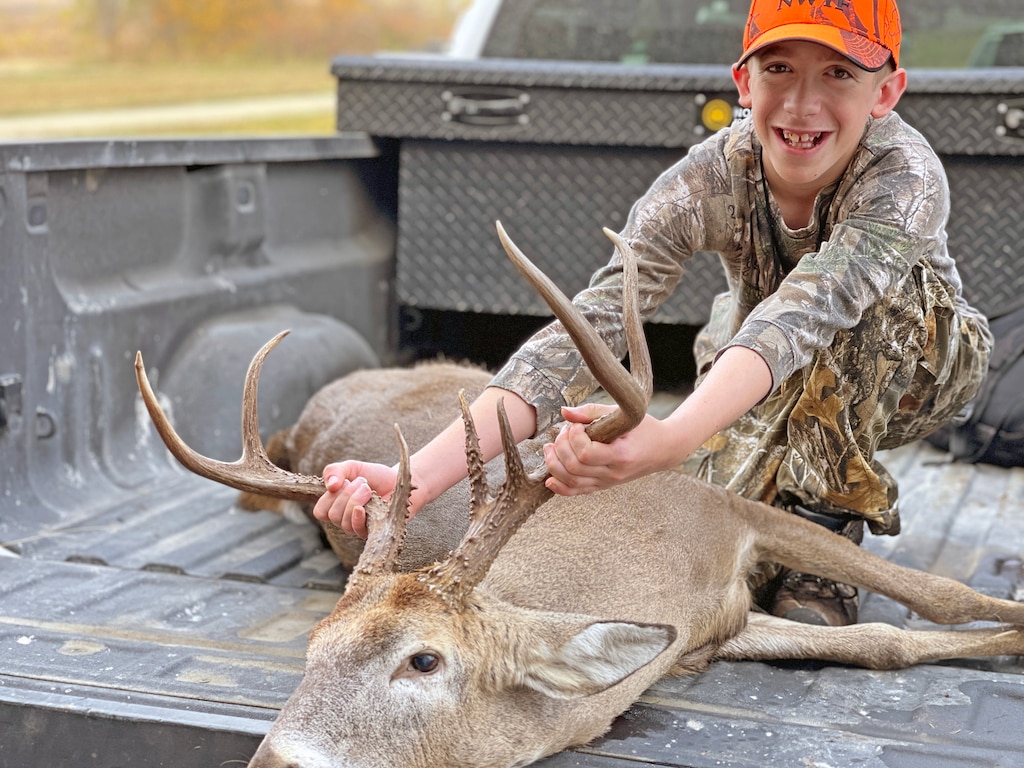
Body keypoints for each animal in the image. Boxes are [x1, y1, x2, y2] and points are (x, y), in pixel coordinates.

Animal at [135, 222, 1024, 768]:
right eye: (313, 648)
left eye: (422, 659)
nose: (270, 760)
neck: (649, 567)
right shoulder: (711, 627)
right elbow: (883, 642)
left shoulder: (731, 512)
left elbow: (926, 601)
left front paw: (1013, 624)